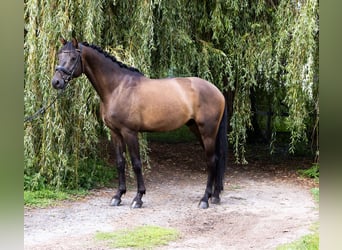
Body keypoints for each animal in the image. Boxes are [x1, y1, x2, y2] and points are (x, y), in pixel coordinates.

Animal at [51, 37, 227, 209]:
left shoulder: (129, 132)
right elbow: (120, 162)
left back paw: (205, 199)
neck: (118, 87)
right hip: (196, 129)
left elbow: (136, 163)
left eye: (73, 58)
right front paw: (118, 196)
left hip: (207, 132)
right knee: (216, 158)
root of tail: (217, 91)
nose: (56, 82)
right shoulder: (115, 132)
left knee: (211, 160)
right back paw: (215, 196)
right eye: (59, 56)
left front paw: (138, 198)